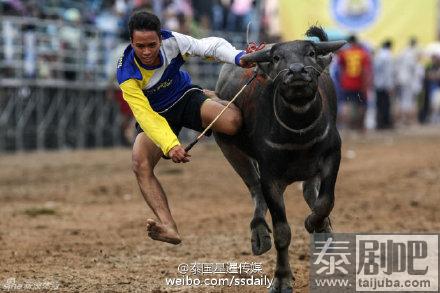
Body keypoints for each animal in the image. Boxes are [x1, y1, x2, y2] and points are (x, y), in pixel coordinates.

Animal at [215, 26, 346, 290]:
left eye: (310, 52)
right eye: (277, 58)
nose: (296, 71)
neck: (298, 129)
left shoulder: (332, 156)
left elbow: (325, 202)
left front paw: (315, 224)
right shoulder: (270, 177)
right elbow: (282, 232)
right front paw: (282, 278)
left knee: (309, 192)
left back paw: (324, 235)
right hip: (230, 150)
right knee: (255, 189)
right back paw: (259, 234)